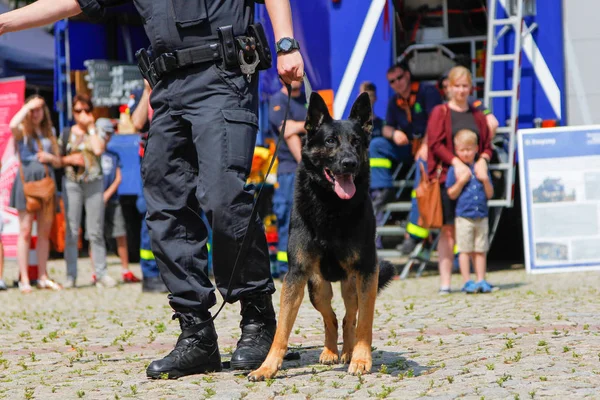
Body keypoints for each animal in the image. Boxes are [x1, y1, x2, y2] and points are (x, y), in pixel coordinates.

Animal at [248, 91, 394, 382]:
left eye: (356, 142)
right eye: (330, 141)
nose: (349, 163)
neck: (331, 206)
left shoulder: (367, 271)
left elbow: (365, 323)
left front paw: (361, 359)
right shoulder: (296, 274)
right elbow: (282, 330)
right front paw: (267, 367)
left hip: (352, 285)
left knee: (349, 317)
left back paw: (348, 352)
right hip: (317, 288)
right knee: (332, 317)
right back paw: (330, 351)